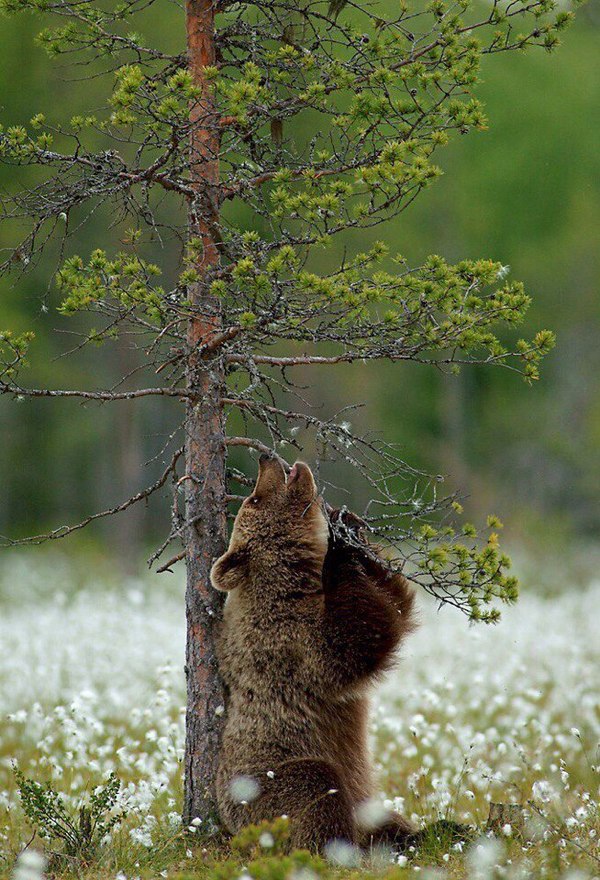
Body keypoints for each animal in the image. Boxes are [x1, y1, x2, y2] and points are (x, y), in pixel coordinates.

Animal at [211, 458, 418, 848]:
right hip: (263, 784)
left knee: (386, 820)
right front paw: (339, 550)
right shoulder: (287, 640)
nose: (266, 460)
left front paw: (351, 527)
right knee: (317, 785)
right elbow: (357, 640)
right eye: (254, 498)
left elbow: (397, 608)